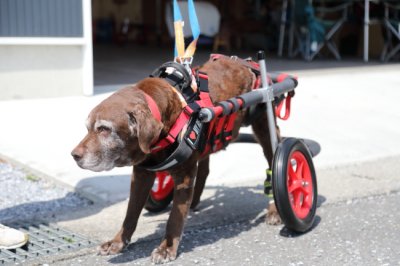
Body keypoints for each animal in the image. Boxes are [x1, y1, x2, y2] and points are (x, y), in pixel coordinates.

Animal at [71, 57, 282, 262]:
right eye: (88, 127)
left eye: (104, 129)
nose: (74, 156)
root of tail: (246, 63)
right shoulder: (141, 174)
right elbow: (131, 211)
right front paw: (118, 242)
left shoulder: (184, 176)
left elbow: (174, 217)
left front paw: (167, 248)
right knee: (204, 169)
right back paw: (195, 202)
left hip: (265, 128)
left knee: (274, 161)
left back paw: (275, 210)